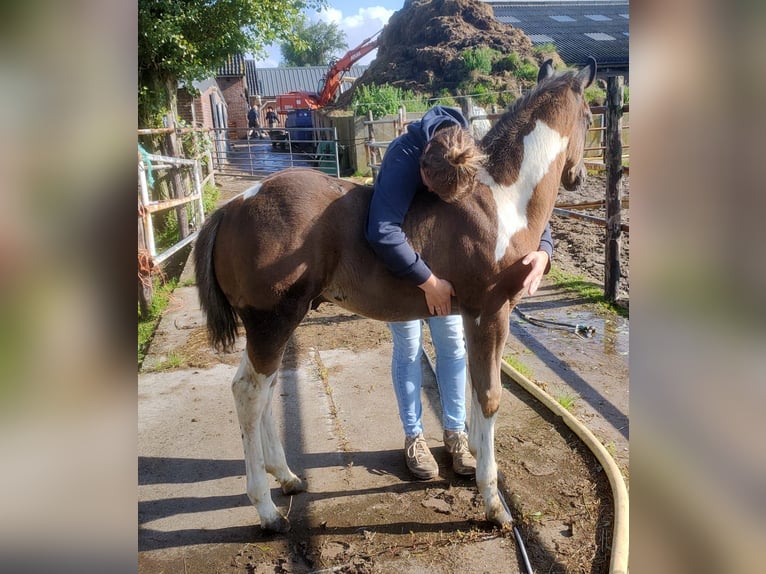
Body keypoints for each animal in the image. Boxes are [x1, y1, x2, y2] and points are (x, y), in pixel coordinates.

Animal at [195, 58, 596, 536]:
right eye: (589, 117)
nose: (579, 177)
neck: (500, 199)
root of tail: (232, 206)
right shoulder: (492, 312)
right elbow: (490, 395)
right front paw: (494, 503)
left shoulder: (470, 315)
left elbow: (471, 385)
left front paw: (471, 458)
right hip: (272, 321)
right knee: (250, 392)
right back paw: (267, 510)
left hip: (271, 324)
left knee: (264, 386)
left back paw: (288, 477)